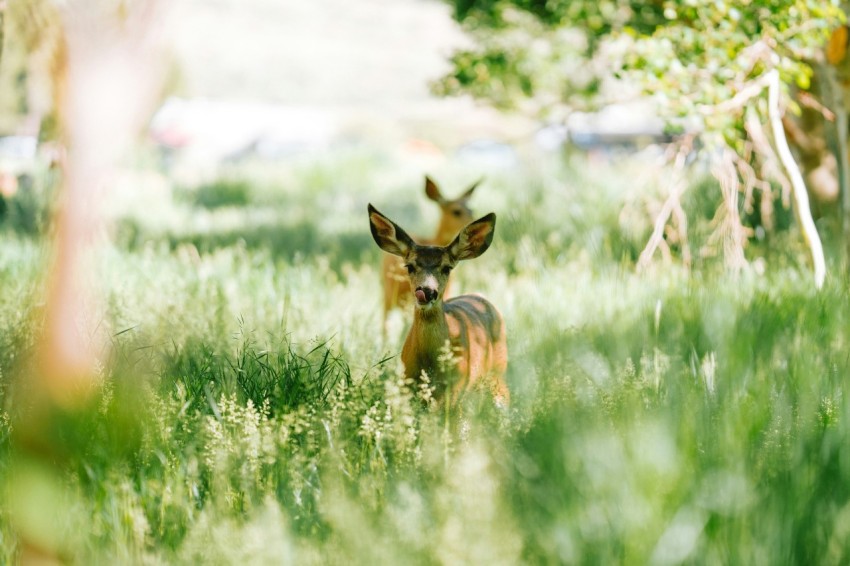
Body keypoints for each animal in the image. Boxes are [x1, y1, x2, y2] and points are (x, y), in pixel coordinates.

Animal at [368, 204, 506, 408]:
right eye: (409, 266)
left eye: (447, 268)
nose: (427, 290)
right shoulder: (406, 382)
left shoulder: (456, 388)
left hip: (499, 371)